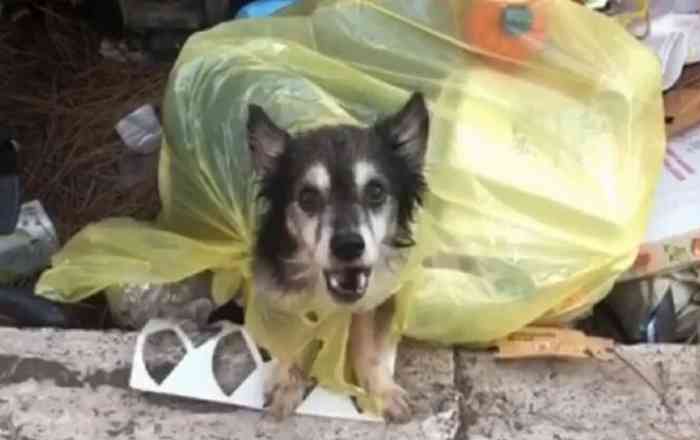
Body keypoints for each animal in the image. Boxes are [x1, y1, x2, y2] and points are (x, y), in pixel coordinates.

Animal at [249, 92, 430, 422]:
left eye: (376, 191)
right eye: (307, 197)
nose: (348, 246)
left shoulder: (371, 296)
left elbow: (367, 345)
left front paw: (381, 391)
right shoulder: (275, 290)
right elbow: (290, 340)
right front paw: (286, 384)